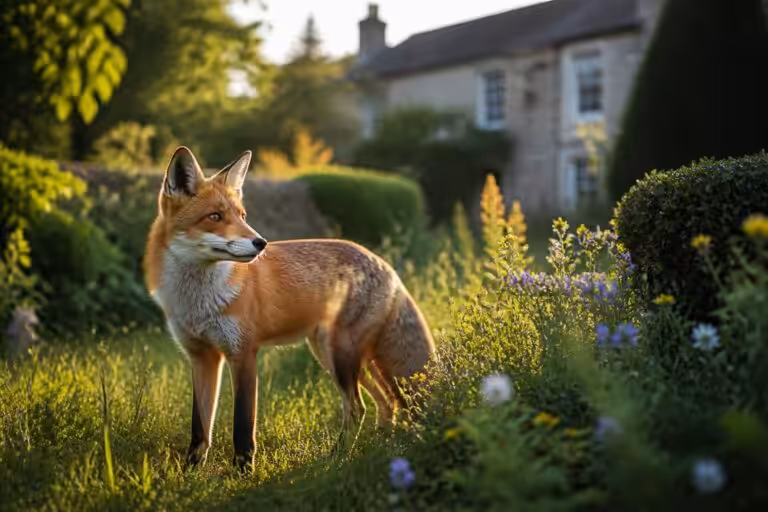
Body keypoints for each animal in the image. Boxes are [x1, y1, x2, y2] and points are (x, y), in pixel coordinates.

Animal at [144, 146, 437, 470]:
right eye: (215, 216)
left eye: (242, 216)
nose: (260, 243)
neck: (197, 302)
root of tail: (384, 263)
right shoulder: (201, 357)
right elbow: (200, 427)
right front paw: (191, 471)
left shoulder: (243, 353)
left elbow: (242, 425)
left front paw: (244, 472)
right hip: (336, 356)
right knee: (384, 403)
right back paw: (377, 446)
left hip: (341, 355)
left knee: (357, 407)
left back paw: (337, 457)